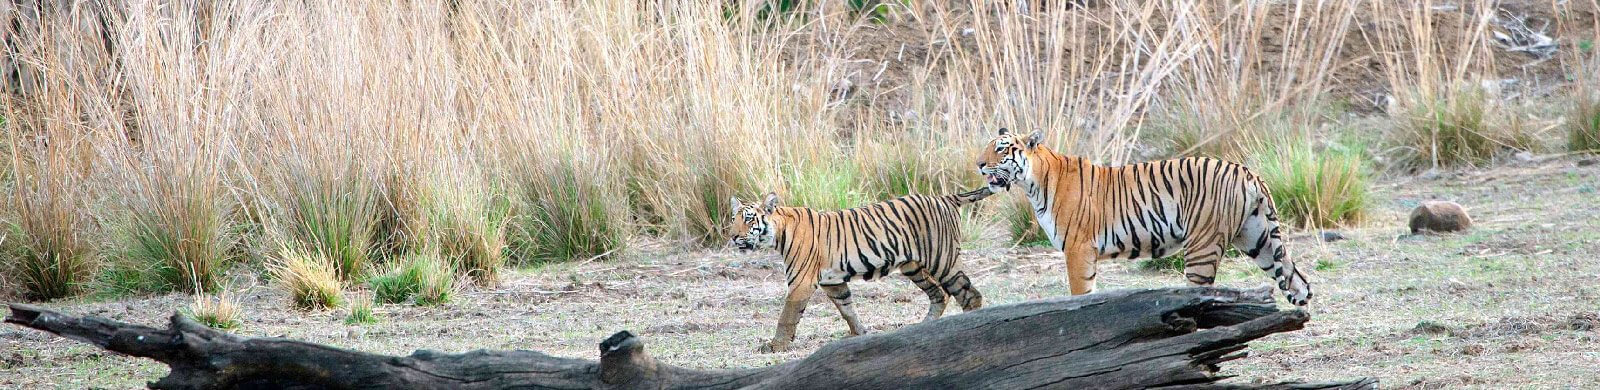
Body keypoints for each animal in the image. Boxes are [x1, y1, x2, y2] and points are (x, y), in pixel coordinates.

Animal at [729, 187, 998, 353]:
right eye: (733, 219)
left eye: (749, 219)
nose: (732, 236)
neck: (779, 232)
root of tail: (945, 197)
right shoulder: (833, 282)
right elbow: (847, 309)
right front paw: (860, 334)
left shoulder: (801, 283)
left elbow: (787, 316)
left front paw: (776, 346)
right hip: (913, 266)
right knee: (939, 294)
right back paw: (924, 328)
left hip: (943, 259)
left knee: (969, 294)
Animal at [972, 129, 1312, 306]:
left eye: (1001, 149)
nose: (978, 164)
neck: (1033, 183)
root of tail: (1248, 172)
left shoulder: (1078, 248)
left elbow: (1079, 292)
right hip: (1257, 238)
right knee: (1299, 283)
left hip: (1203, 246)